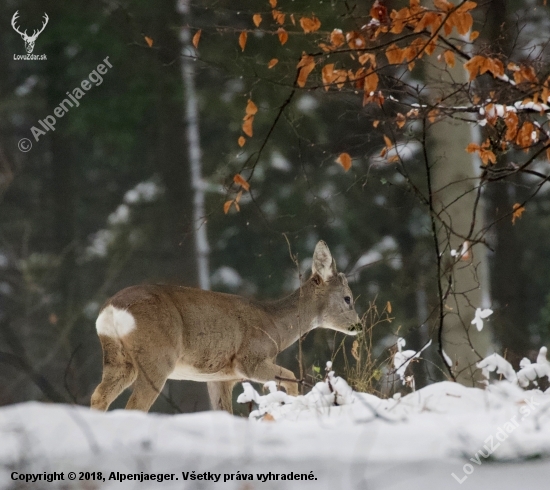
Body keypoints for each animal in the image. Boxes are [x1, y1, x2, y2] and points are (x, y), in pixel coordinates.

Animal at [90, 239, 360, 412]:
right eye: (348, 298)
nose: (358, 324)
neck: (274, 325)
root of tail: (112, 309)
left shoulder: (220, 377)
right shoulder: (248, 360)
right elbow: (292, 377)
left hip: (119, 360)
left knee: (99, 397)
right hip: (157, 357)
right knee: (135, 405)